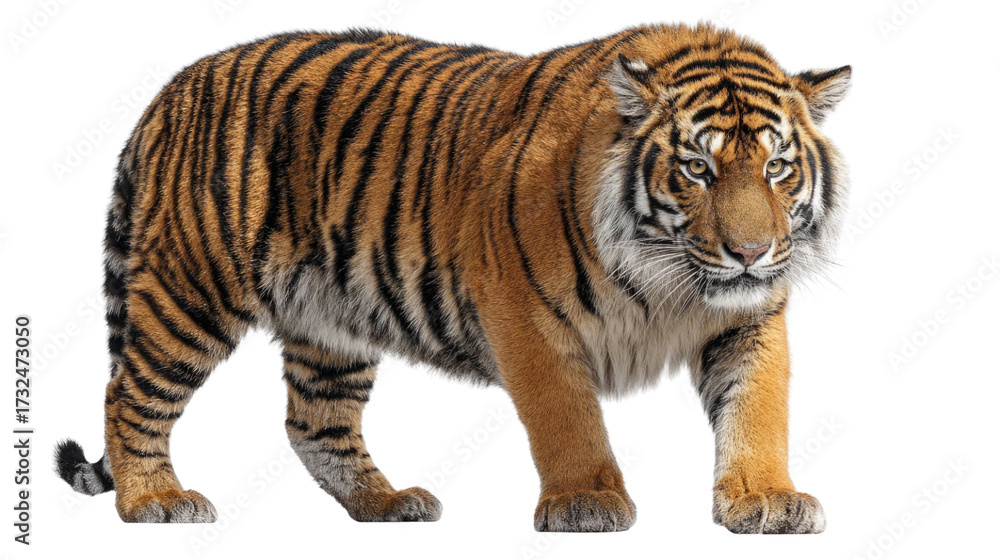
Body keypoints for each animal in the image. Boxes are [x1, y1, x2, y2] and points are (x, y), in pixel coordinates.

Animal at [53, 22, 850, 533]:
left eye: (778, 167)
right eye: (697, 168)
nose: (751, 252)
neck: (668, 282)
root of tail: (172, 89)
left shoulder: (748, 320)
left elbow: (757, 410)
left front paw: (764, 500)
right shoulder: (526, 315)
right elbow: (567, 416)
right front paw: (585, 502)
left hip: (330, 319)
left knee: (314, 422)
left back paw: (385, 504)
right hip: (190, 292)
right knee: (129, 394)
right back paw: (153, 502)